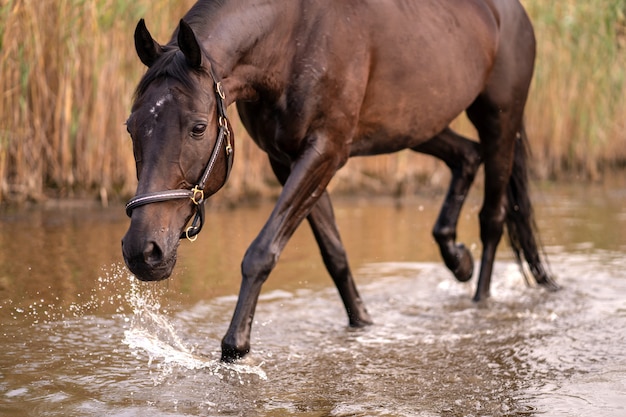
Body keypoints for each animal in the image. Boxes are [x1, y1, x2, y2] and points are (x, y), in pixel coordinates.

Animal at [120, 0, 556, 360]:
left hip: (500, 121)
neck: (292, 38)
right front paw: (362, 323)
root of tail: (512, 12)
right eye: (130, 127)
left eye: (197, 127)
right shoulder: (286, 160)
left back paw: (480, 301)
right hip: (417, 124)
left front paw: (236, 346)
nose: (143, 252)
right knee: (466, 156)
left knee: (492, 218)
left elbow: (262, 251)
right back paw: (456, 257)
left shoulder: (326, 151)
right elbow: (334, 253)